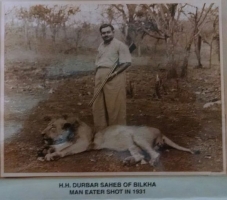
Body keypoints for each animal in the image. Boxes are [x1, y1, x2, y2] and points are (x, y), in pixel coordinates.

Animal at [38, 115, 199, 166]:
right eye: (48, 125)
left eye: (52, 127)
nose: (41, 133)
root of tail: (161, 131)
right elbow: (60, 146)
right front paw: (45, 151)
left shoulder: (84, 143)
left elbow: (65, 150)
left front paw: (51, 155)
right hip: (132, 145)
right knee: (140, 156)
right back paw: (129, 161)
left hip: (138, 137)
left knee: (154, 154)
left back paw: (152, 162)